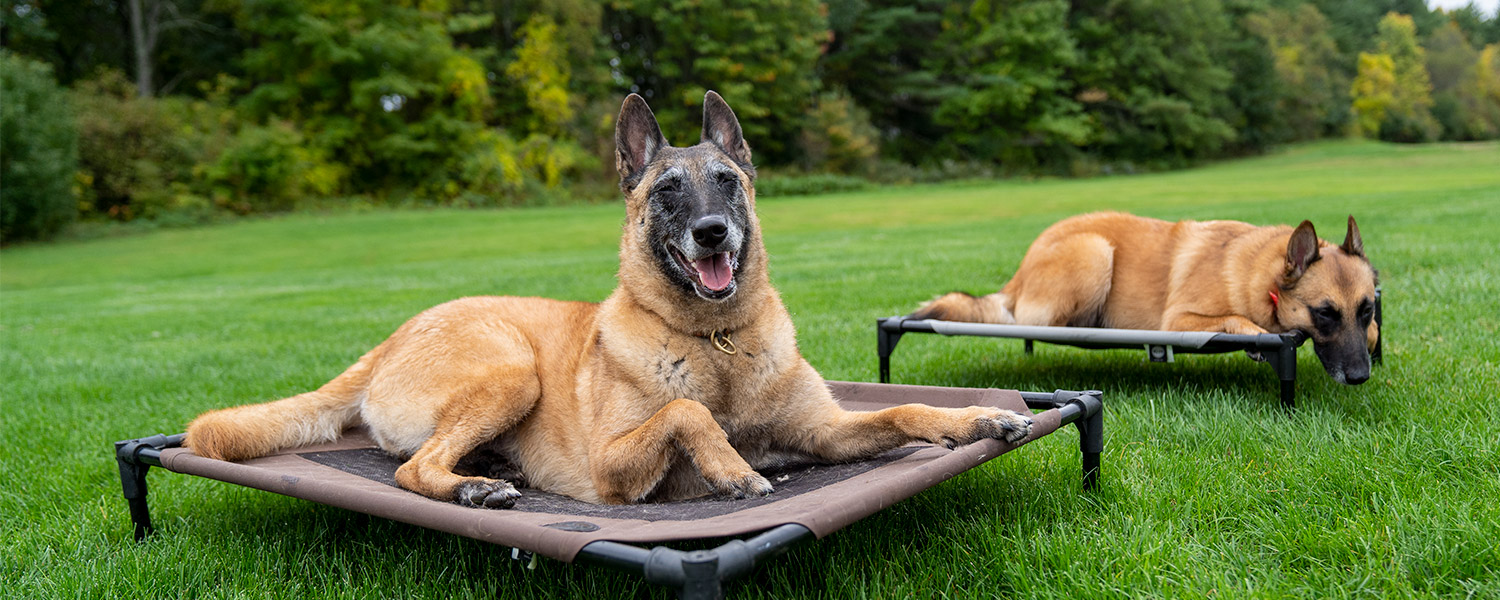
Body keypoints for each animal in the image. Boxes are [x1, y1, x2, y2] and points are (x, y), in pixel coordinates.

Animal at [184, 92, 1032, 507]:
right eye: (667, 192)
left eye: (727, 180)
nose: (713, 235)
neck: (715, 342)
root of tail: (393, 337)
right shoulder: (616, 465)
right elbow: (686, 412)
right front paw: (731, 470)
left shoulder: (826, 432)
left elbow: (904, 410)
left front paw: (975, 418)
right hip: (512, 372)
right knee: (410, 470)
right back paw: (472, 487)